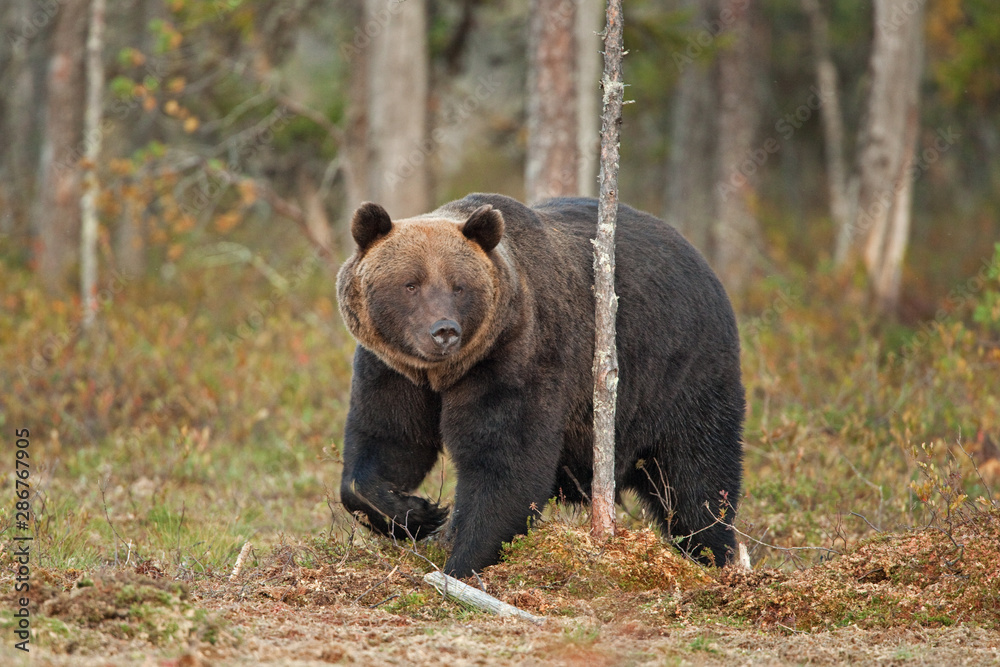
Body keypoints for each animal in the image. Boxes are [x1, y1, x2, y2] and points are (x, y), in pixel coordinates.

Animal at [336, 193, 744, 580]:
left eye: (458, 286)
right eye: (411, 284)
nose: (444, 331)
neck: (444, 373)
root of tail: (699, 259)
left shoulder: (516, 360)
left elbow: (506, 463)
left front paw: (461, 564)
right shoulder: (392, 369)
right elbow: (389, 441)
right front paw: (419, 513)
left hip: (678, 374)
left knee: (695, 478)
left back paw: (714, 557)